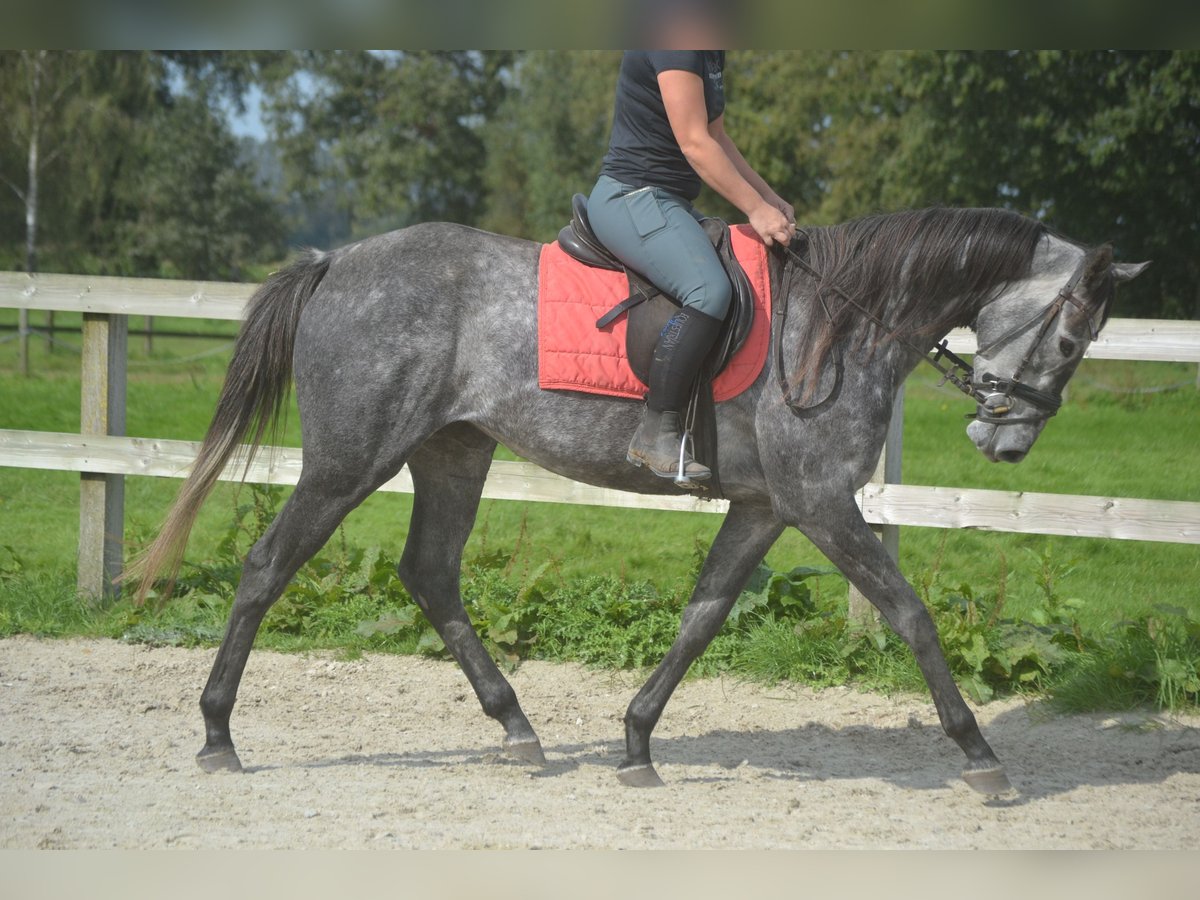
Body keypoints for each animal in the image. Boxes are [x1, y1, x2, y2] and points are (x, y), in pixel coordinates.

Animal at [129, 206, 1142, 796]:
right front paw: (980, 756)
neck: (842, 324)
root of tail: (335, 263)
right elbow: (910, 614)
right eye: (1071, 340)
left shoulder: (768, 508)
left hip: (454, 452)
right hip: (349, 460)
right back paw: (217, 732)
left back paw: (518, 729)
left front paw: (637, 742)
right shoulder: (821, 502)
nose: (1008, 441)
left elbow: (702, 616)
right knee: (269, 565)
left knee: (431, 574)